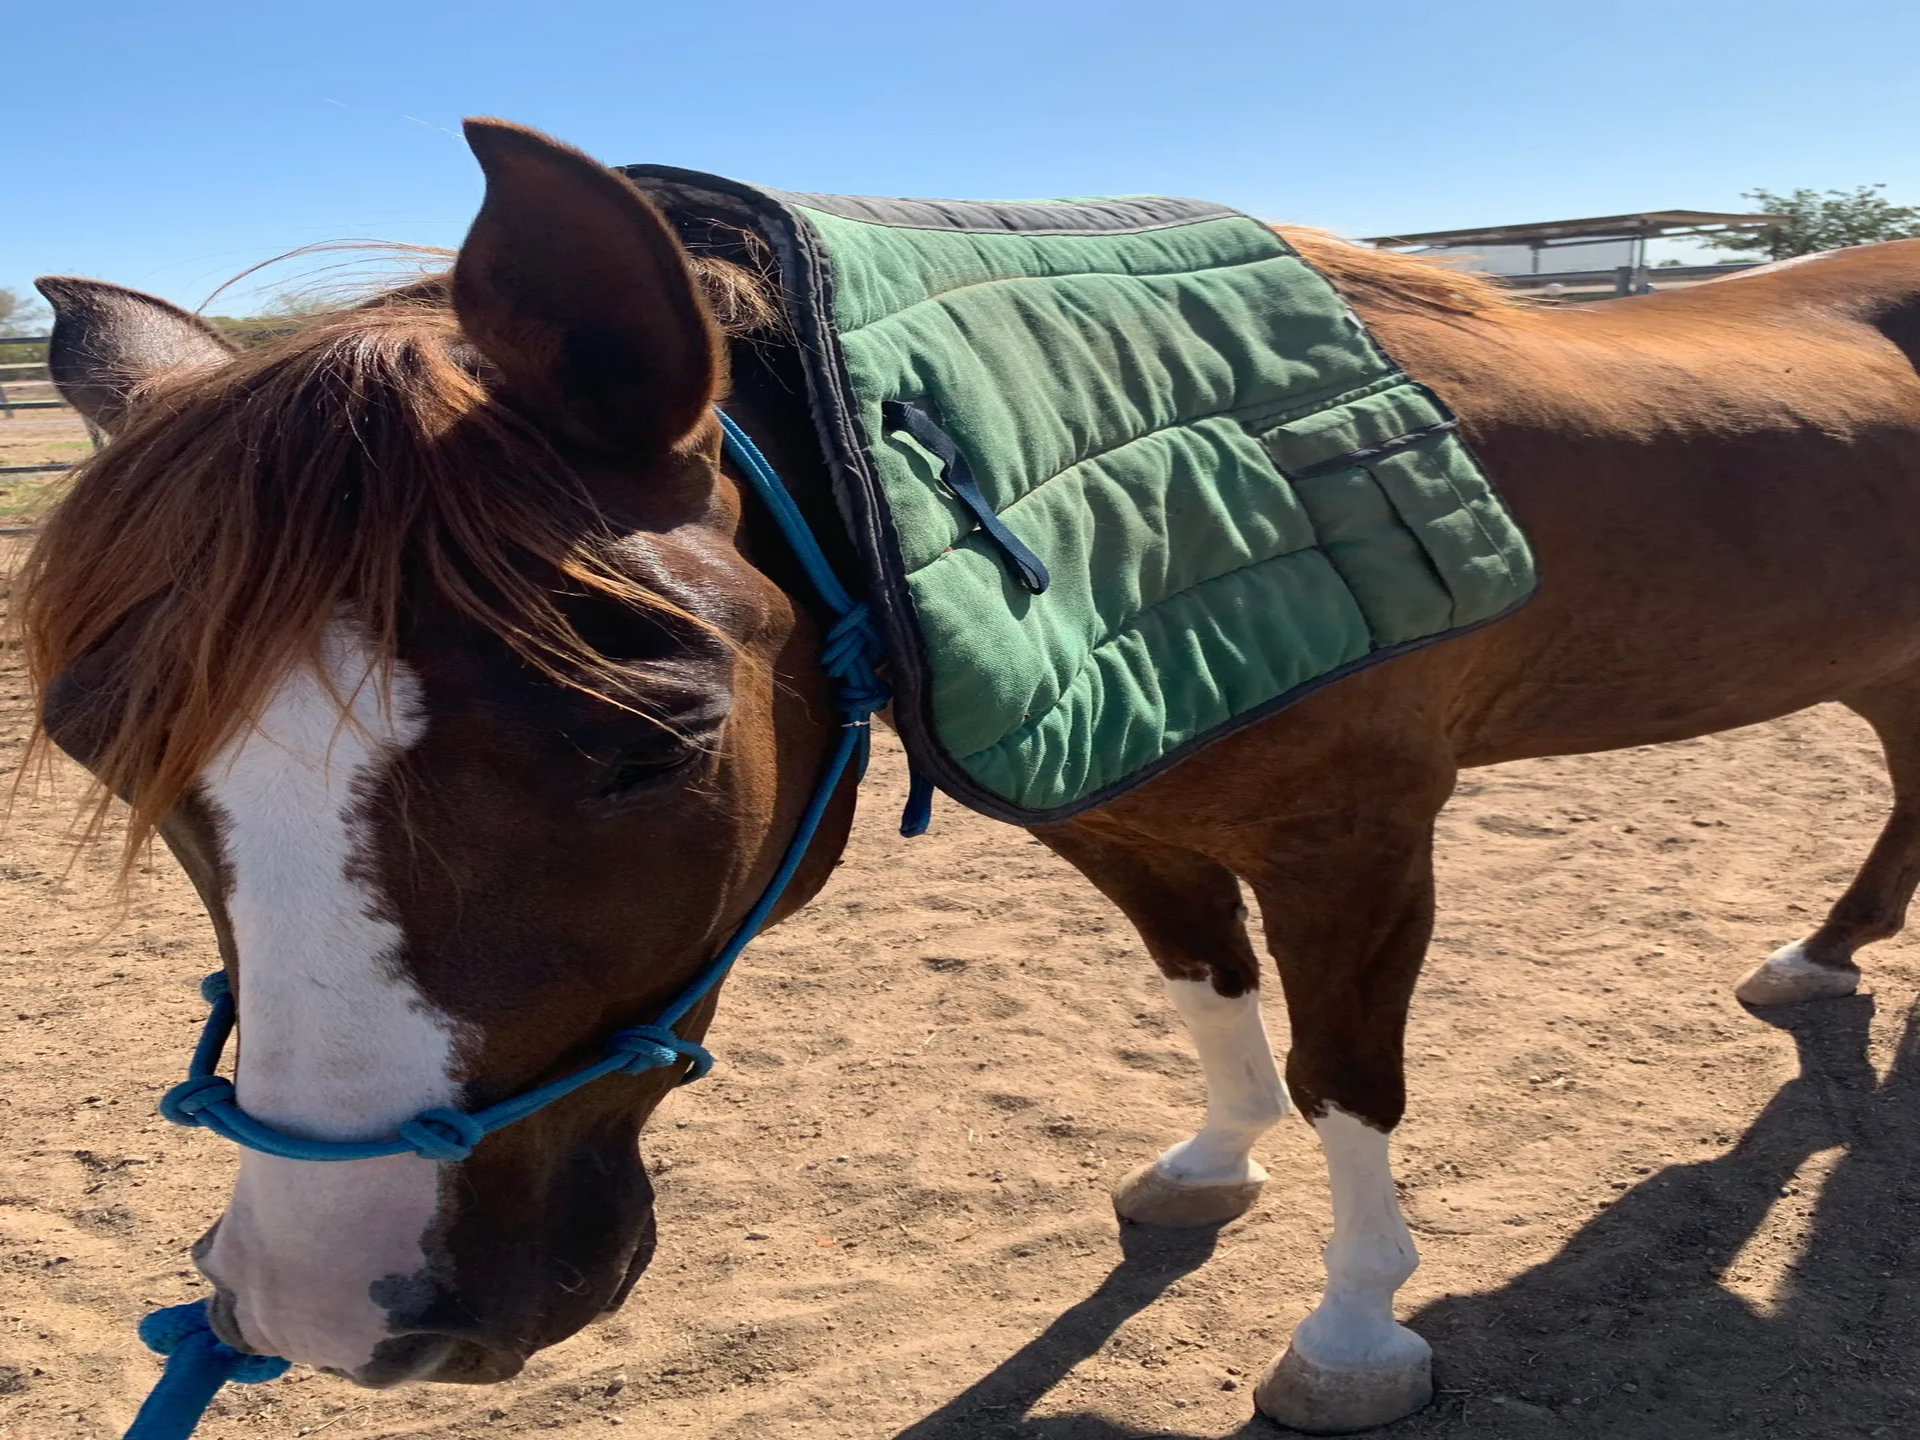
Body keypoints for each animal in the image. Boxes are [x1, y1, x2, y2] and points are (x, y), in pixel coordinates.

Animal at [22, 117, 1920, 1435]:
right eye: (107, 741)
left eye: (647, 739)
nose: (329, 1301)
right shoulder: (1130, 822)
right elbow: (1209, 995)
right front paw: (1207, 1163)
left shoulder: (1358, 842)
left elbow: (1348, 1081)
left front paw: (1355, 1331)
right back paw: (1819, 959)